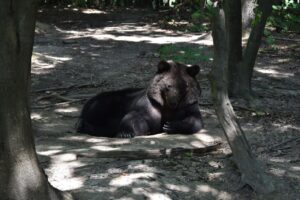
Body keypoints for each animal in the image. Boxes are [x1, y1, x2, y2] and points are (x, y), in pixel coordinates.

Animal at [76, 59, 205, 138]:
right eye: (168, 86)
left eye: (185, 86)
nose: (174, 102)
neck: (166, 106)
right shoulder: (149, 106)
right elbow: (135, 117)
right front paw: (126, 133)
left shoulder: (188, 105)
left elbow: (194, 120)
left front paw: (170, 126)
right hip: (105, 103)